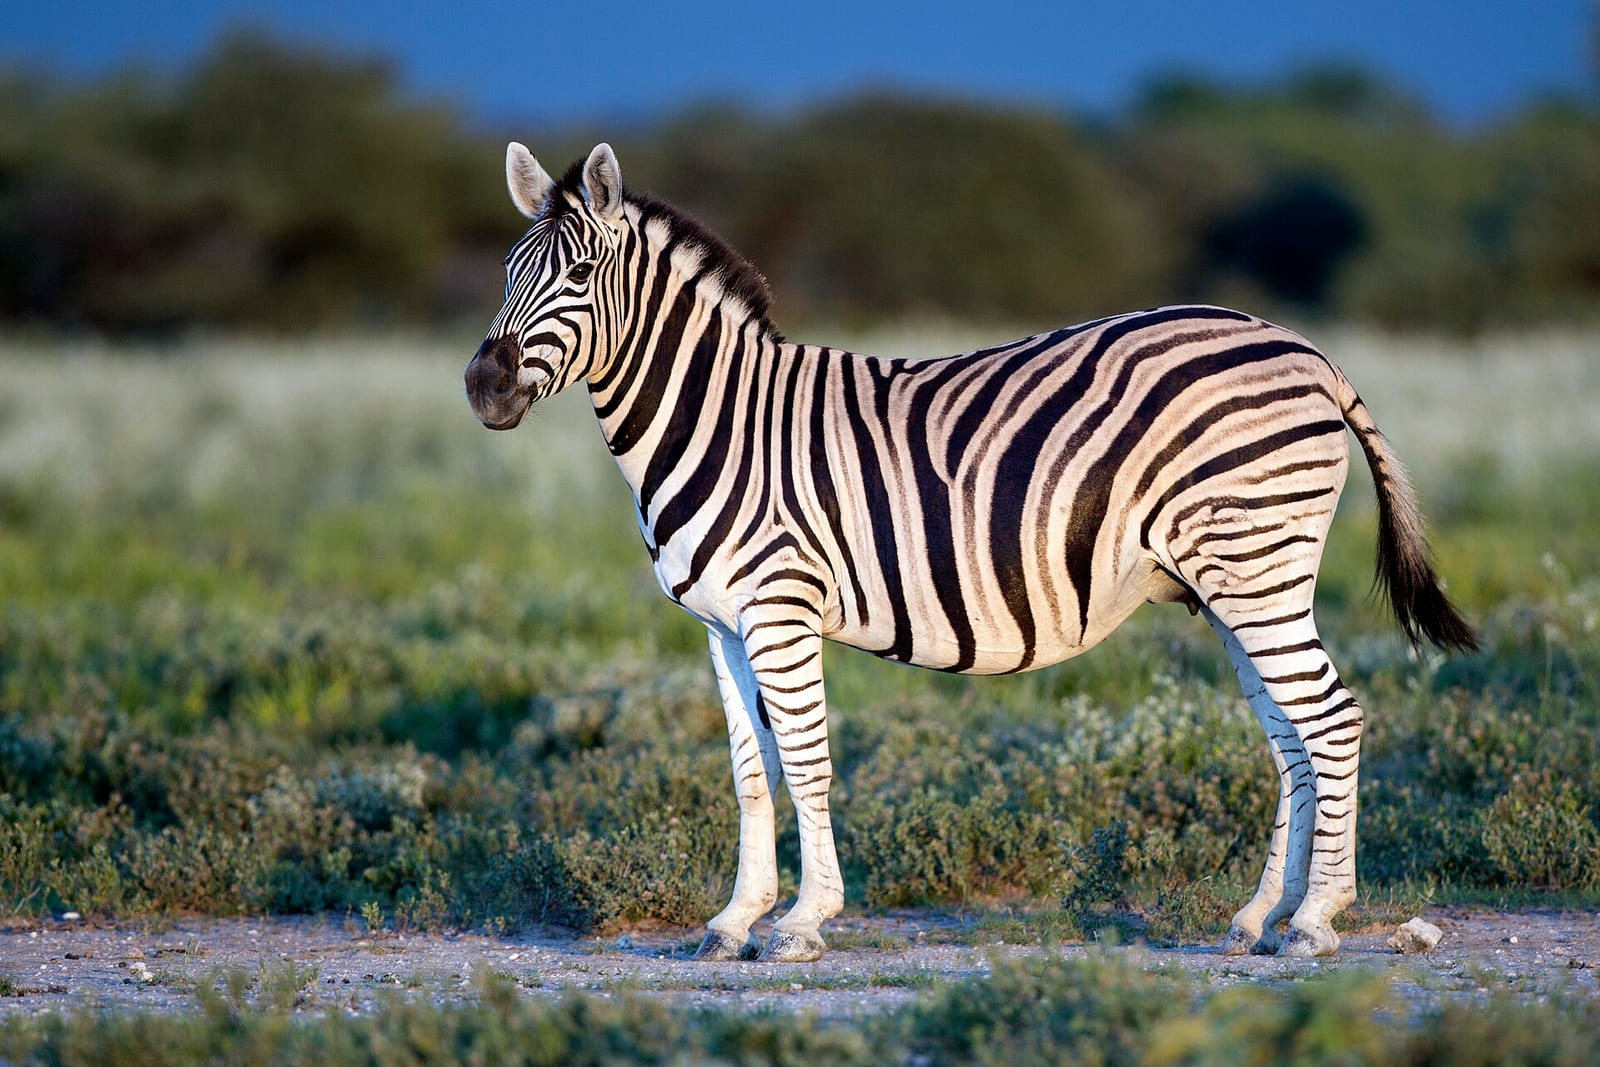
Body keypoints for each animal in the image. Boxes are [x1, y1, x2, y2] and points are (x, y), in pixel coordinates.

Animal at [465, 141, 1478, 963]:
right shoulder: (720, 622)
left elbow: (807, 760)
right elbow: (752, 772)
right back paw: (1261, 916)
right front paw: (733, 920)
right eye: (507, 272)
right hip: (1236, 581)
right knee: (1293, 738)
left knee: (1332, 718)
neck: (718, 417)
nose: (483, 385)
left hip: (1256, 565)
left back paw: (1315, 922)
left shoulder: (781, 606)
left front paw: (800, 923)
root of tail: (1307, 351)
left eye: (579, 273)